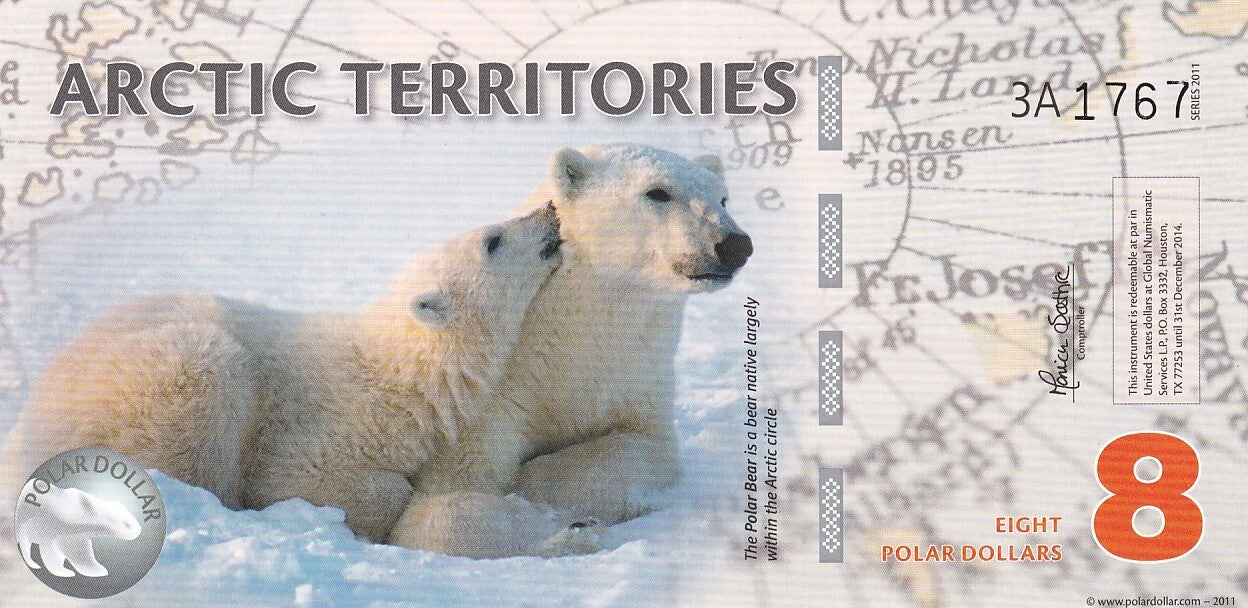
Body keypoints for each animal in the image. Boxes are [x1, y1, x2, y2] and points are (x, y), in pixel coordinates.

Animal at [3, 205, 563, 543]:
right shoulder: (331, 422)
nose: (549, 214)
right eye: (493, 239)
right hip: (154, 377)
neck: (404, 370)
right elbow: (304, 477)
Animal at [392, 143, 752, 557]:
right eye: (657, 192)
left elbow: (641, 448)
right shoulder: (489, 393)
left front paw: (539, 488)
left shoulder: (635, 373)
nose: (735, 245)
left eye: (722, 198)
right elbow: (447, 494)